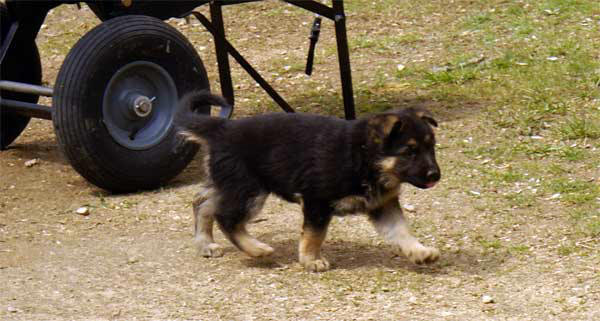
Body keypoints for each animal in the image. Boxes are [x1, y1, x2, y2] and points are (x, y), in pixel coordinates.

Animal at [173, 90, 440, 270]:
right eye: (409, 152)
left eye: (432, 147)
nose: (436, 175)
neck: (364, 156)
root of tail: (221, 129)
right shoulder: (316, 200)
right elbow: (315, 234)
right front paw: (311, 260)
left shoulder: (383, 204)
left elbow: (401, 230)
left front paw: (419, 252)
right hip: (248, 189)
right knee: (226, 217)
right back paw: (257, 249)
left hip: (230, 184)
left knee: (202, 203)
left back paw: (206, 244)